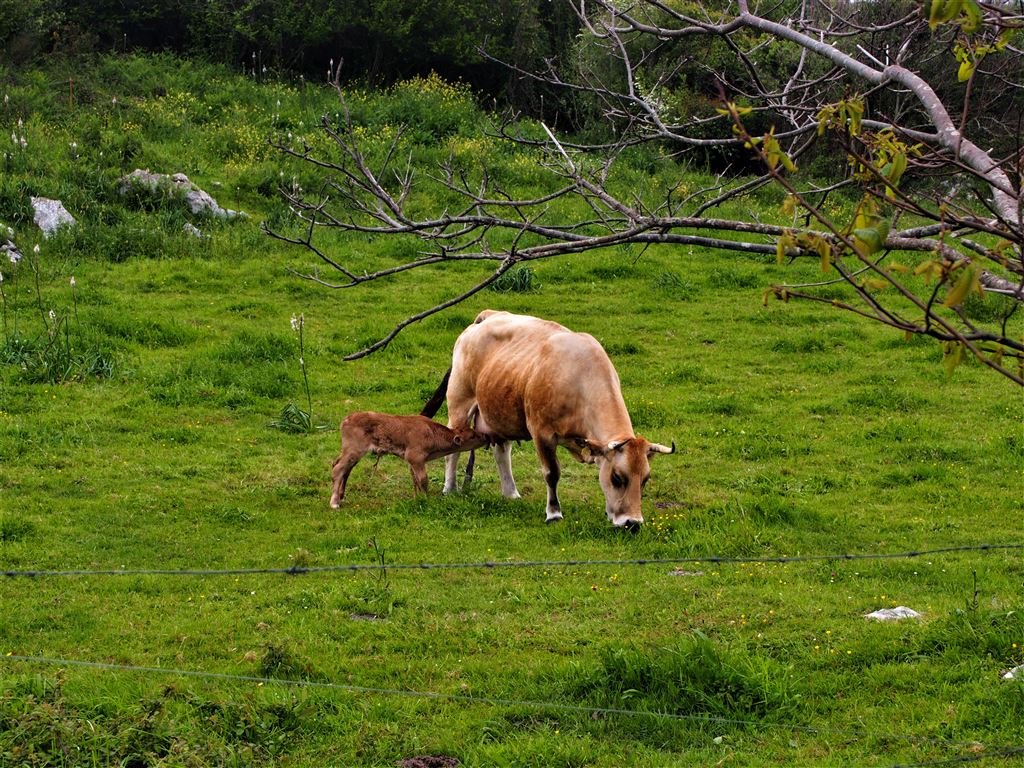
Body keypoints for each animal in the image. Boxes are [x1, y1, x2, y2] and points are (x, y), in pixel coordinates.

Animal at [327, 411, 487, 507]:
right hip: (354, 450)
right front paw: (426, 498)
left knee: (340, 466)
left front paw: (417, 497)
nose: (485, 436)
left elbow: (415, 479)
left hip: (350, 452)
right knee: (338, 469)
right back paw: (334, 503)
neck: (431, 433)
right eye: (473, 436)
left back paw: (340, 496)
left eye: (474, 431)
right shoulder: (415, 457)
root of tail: (347, 419)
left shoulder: (412, 461)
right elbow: (423, 479)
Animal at [432, 309, 671, 532]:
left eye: (645, 479)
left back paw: (511, 493)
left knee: (502, 452)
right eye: (617, 477)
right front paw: (554, 513)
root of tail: (488, 316)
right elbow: (552, 473)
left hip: (500, 411)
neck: (579, 379)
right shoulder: (542, 433)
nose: (633, 523)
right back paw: (449, 489)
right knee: (453, 451)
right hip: (460, 405)